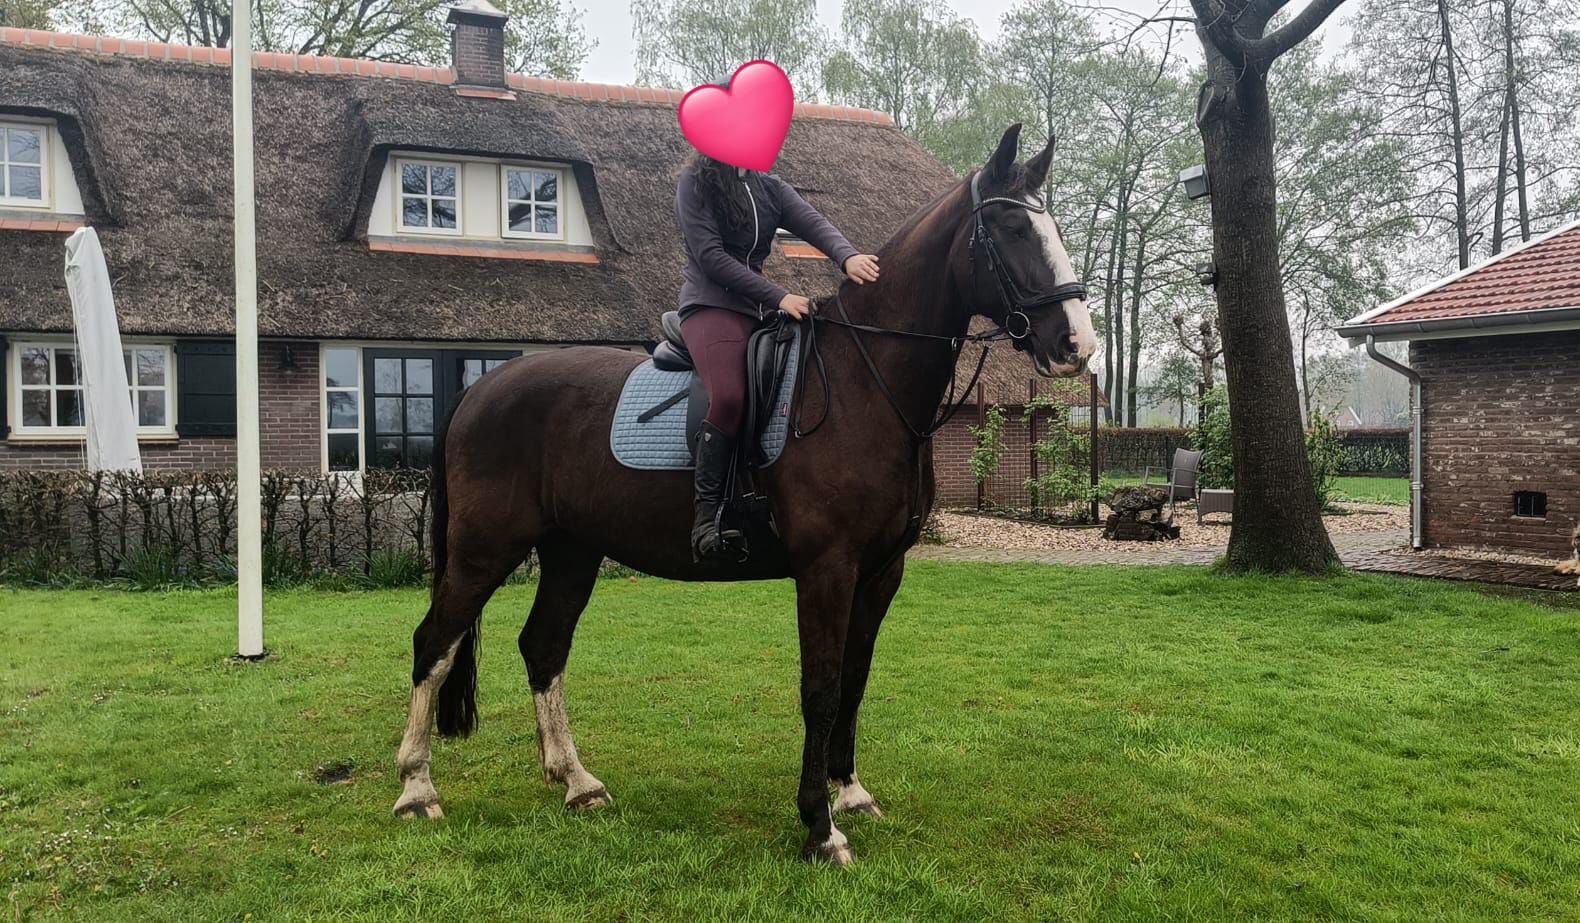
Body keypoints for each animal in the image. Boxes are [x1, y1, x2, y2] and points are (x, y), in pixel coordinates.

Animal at [392, 123, 1100, 866]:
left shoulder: (882, 570)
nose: (1076, 343)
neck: (861, 384)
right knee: (433, 644)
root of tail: (480, 387)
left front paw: (850, 791)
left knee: (543, 646)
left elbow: (855, 678)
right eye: (1012, 226)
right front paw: (820, 826)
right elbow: (820, 688)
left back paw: (576, 781)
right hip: (484, 549)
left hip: (570, 551)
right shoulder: (826, 568)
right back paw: (416, 788)